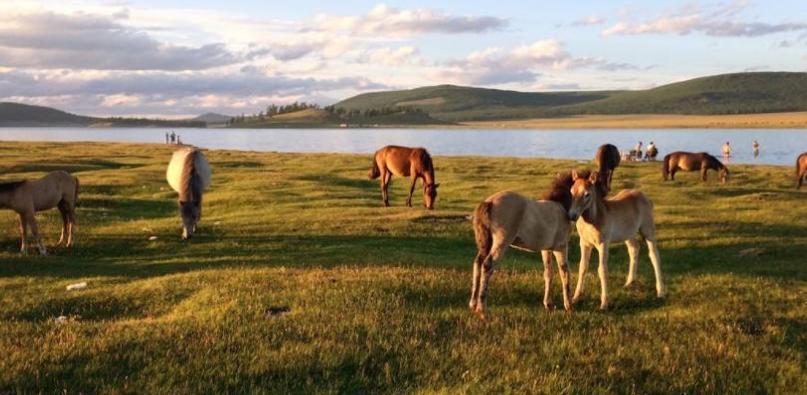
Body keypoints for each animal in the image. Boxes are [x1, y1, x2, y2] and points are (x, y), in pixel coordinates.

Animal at [470, 172, 576, 318]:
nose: (574, 216)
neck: (560, 205)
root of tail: (489, 202)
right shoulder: (561, 247)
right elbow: (565, 273)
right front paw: (569, 306)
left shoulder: (546, 249)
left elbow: (548, 273)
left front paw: (548, 305)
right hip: (501, 243)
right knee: (487, 265)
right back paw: (482, 310)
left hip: (485, 243)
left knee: (478, 263)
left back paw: (473, 305)